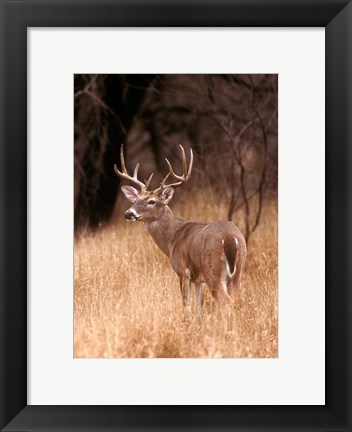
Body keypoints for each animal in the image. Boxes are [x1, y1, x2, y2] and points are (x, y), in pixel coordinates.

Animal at [114, 145, 246, 318]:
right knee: (234, 301)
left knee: (227, 303)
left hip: (213, 270)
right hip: (238, 271)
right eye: (136, 200)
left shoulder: (182, 271)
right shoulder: (197, 280)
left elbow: (186, 306)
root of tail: (229, 237)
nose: (128, 213)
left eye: (152, 201)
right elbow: (198, 310)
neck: (172, 238)